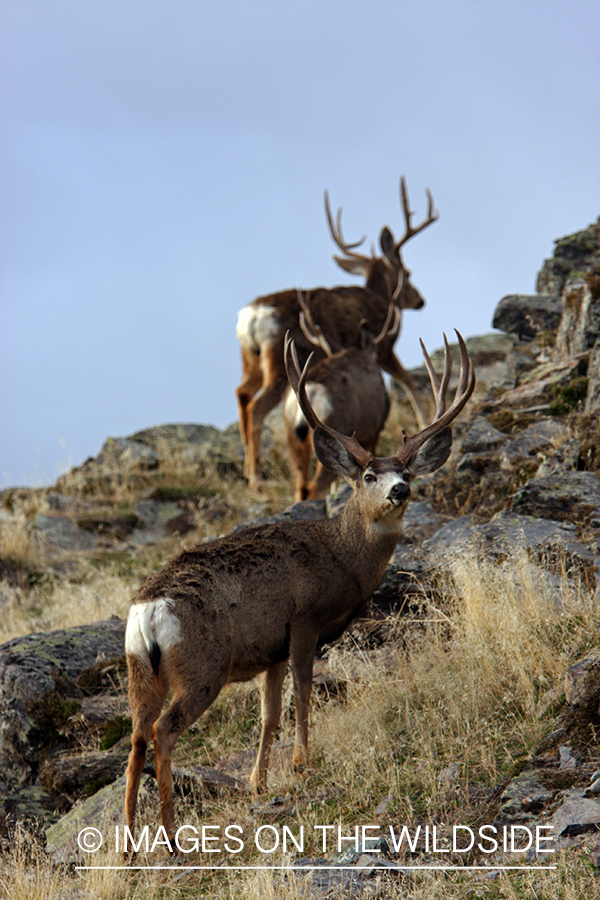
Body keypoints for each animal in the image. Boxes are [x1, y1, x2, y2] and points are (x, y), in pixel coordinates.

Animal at [124, 330, 474, 848]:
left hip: (139, 671)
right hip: (202, 664)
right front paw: (302, 762)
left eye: (408, 473)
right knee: (163, 731)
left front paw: (257, 782)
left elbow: (269, 713)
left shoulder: (269, 647)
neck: (341, 557)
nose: (399, 491)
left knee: (136, 737)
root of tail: (149, 610)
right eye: (369, 475)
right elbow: (304, 691)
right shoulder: (304, 618)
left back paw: (129, 843)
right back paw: (169, 837)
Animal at [283, 290, 399, 501]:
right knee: (315, 486)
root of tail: (312, 390)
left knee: (300, 487)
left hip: (292, 436)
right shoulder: (373, 431)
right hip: (335, 430)